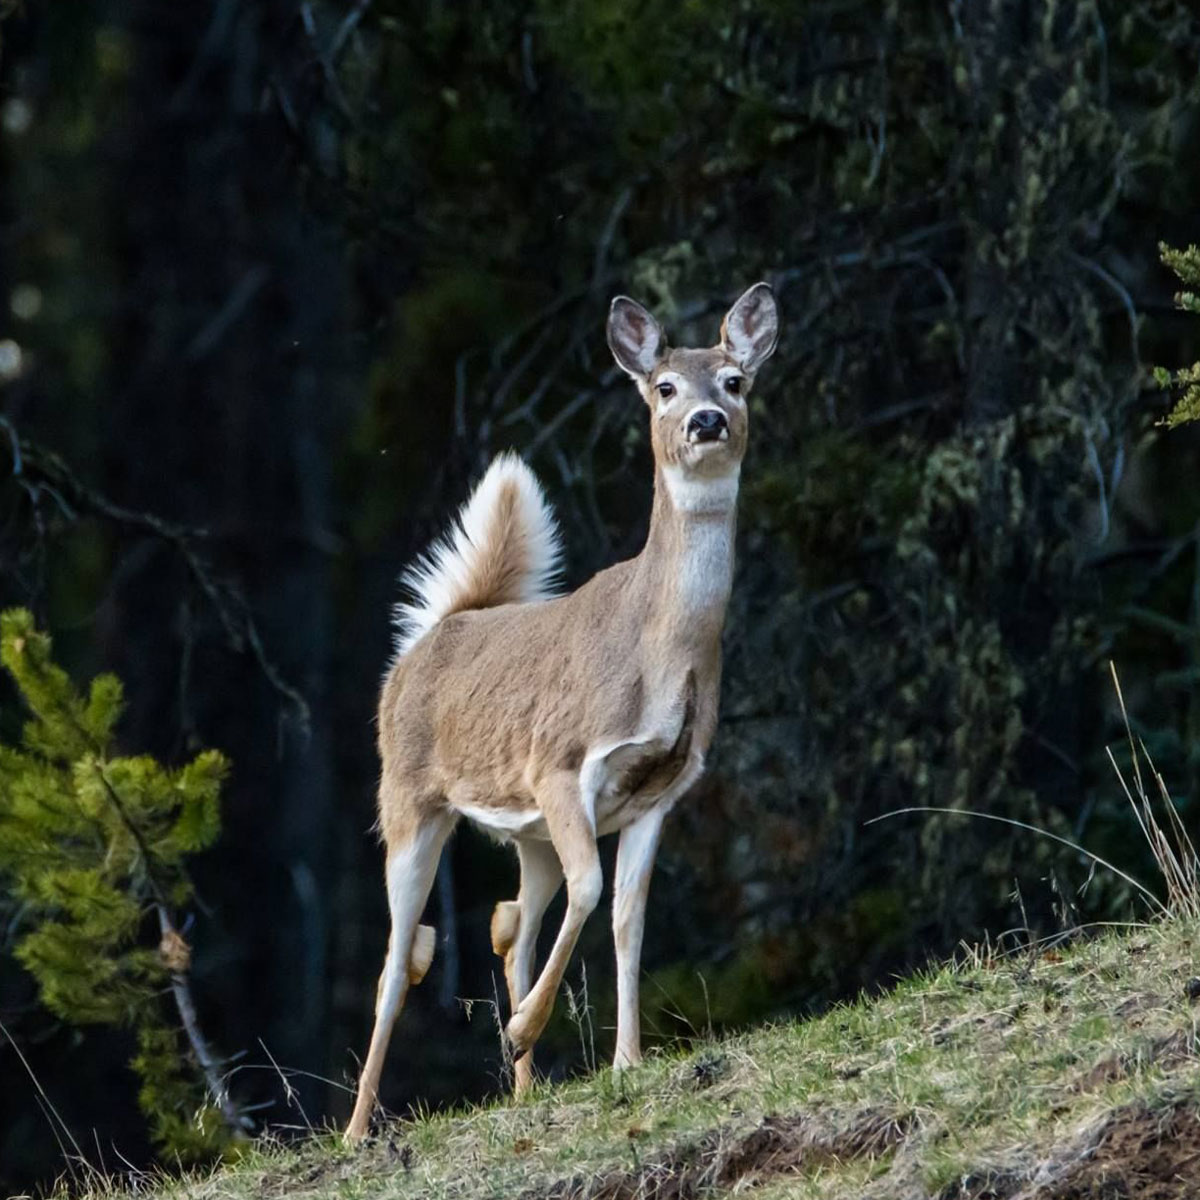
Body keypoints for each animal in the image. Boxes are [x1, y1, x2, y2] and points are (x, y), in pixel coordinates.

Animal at [345, 280, 777, 1142]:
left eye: (736, 380)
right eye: (664, 387)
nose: (707, 422)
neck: (660, 651)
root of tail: (437, 630)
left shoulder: (661, 789)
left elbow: (627, 916)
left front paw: (626, 1060)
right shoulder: (560, 763)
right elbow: (593, 891)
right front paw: (520, 1031)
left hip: (525, 831)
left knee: (509, 922)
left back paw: (522, 1090)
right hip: (408, 801)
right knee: (397, 961)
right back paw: (355, 1128)